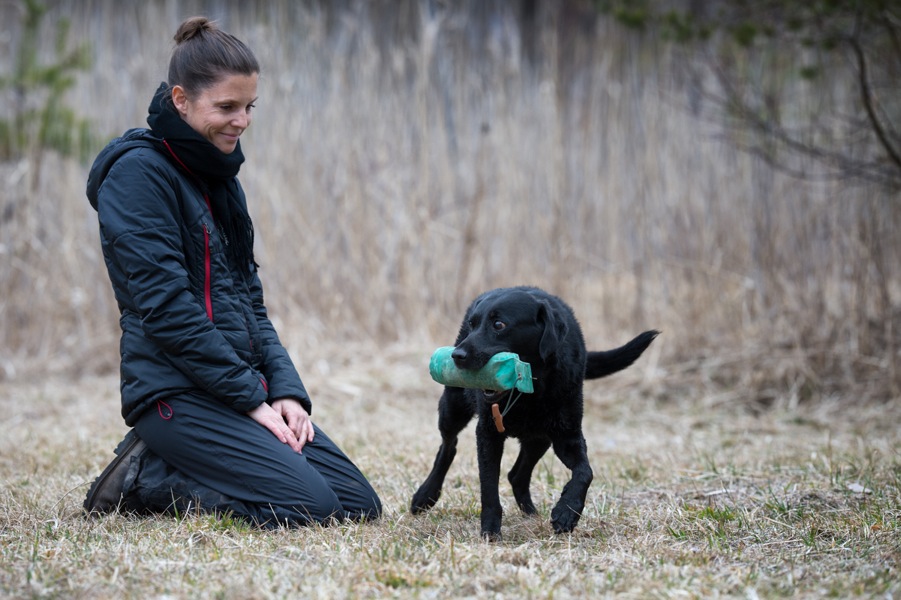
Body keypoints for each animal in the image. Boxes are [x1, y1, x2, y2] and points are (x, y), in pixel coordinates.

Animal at [412, 286, 656, 540]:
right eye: (473, 324)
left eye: (499, 324)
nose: (457, 355)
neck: (529, 391)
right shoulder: (488, 434)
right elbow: (489, 488)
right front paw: (490, 531)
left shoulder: (568, 436)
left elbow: (585, 472)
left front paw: (566, 512)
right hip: (453, 408)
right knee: (448, 447)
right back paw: (424, 495)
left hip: (539, 438)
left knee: (516, 475)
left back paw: (531, 514)